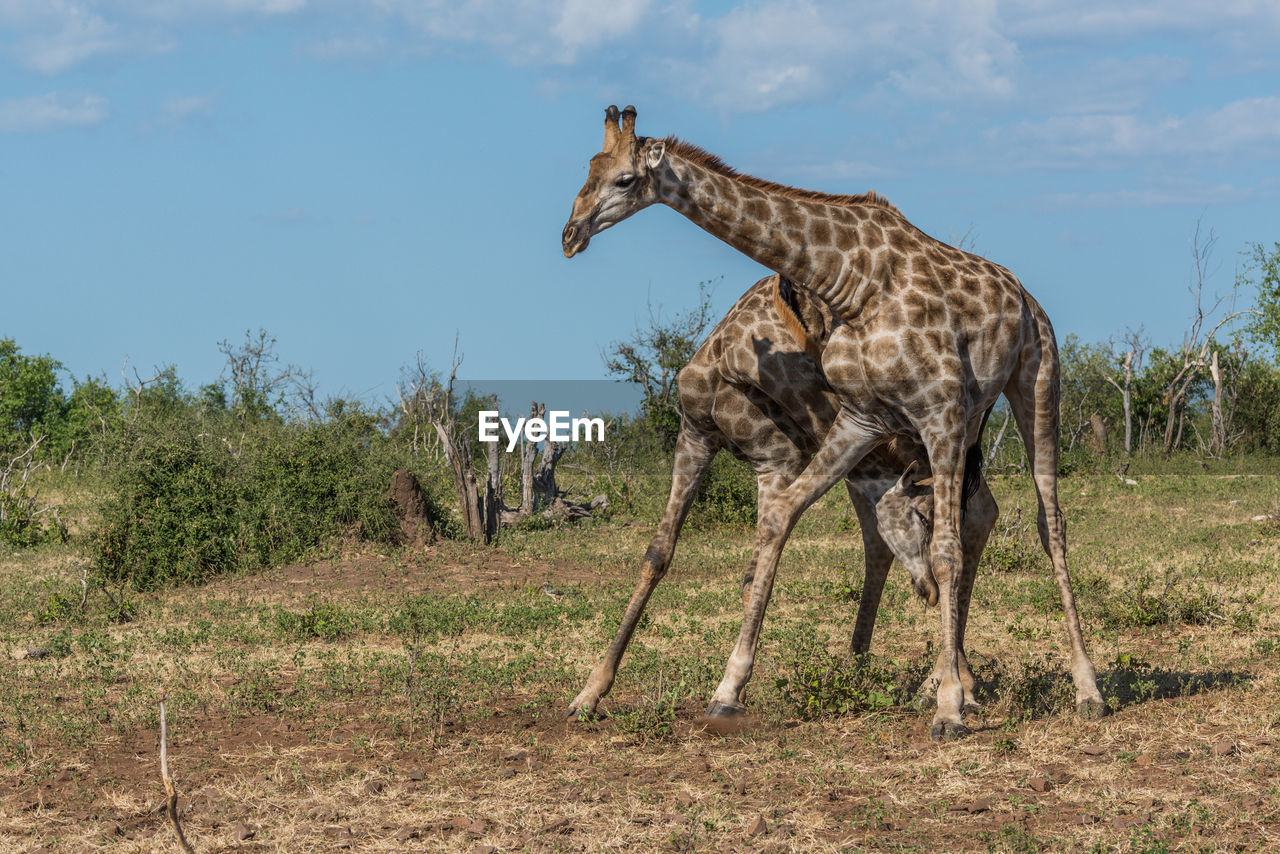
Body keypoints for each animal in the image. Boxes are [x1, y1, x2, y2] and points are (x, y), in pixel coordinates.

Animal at [563, 275, 998, 722]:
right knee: (910, 530)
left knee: (973, 512)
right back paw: (883, 669)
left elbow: (761, 567)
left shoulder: (778, 459)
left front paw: (729, 691)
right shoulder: (696, 435)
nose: (927, 590)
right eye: (921, 518)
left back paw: (946, 681)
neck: (733, 359)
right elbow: (660, 555)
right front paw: (589, 692)